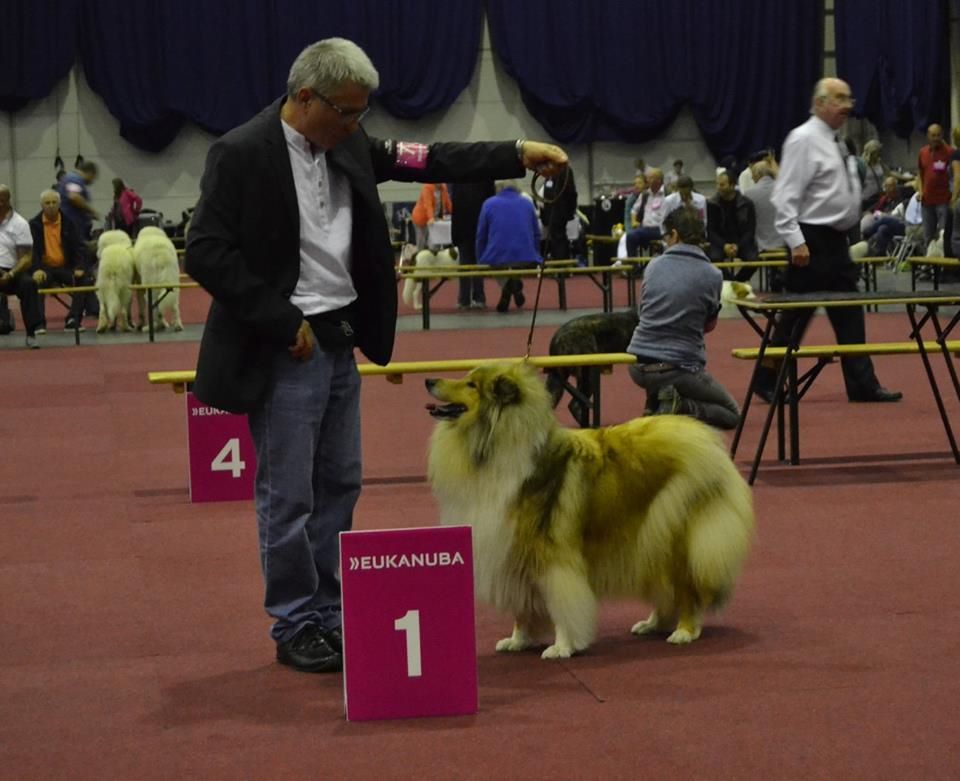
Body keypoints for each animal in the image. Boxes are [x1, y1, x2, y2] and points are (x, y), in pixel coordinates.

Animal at [425, 361, 754, 659]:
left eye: (471, 385)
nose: (429, 380)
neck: (494, 443)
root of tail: (702, 435)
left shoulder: (552, 554)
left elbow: (561, 601)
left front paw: (562, 647)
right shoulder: (513, 549)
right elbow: (523, 607)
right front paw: (519, 640)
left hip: (676, 534)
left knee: (686, 587)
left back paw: (684, 631)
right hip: (649, 538)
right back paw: (652, 624)